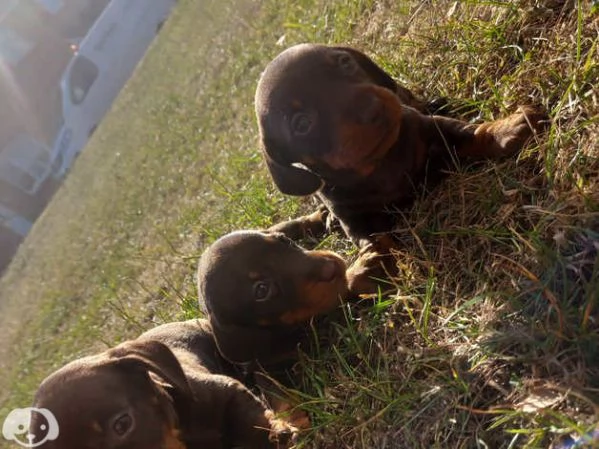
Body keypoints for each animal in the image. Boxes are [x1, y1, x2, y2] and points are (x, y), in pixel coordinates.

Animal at [255, 42, 548, 245]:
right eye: (302, 123)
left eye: (345, 62)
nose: (373, 109)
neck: (381, 161)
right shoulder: (353, 218)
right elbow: (374, 241)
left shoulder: (431, 127)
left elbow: (473, 133)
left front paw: (507, 128)